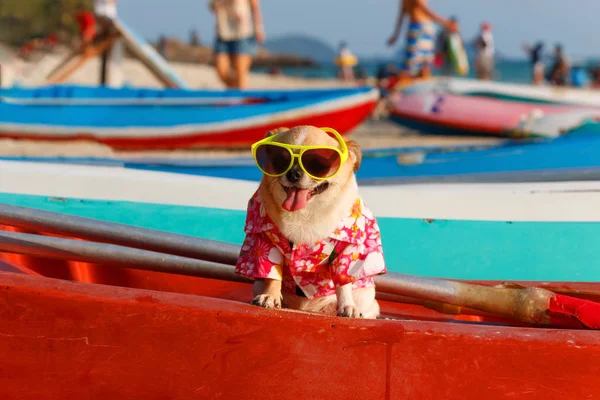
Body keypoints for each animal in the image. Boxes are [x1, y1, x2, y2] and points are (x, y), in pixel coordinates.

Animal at [234, 125, 384, 318]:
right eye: (280, 159)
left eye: (318, 163)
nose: (293, 173)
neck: (305, 212)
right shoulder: (264, 242)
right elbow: (272, 274)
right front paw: (270, 296)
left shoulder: (348, 248)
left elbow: (343, 281)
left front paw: (347, 306)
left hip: (366, 298)